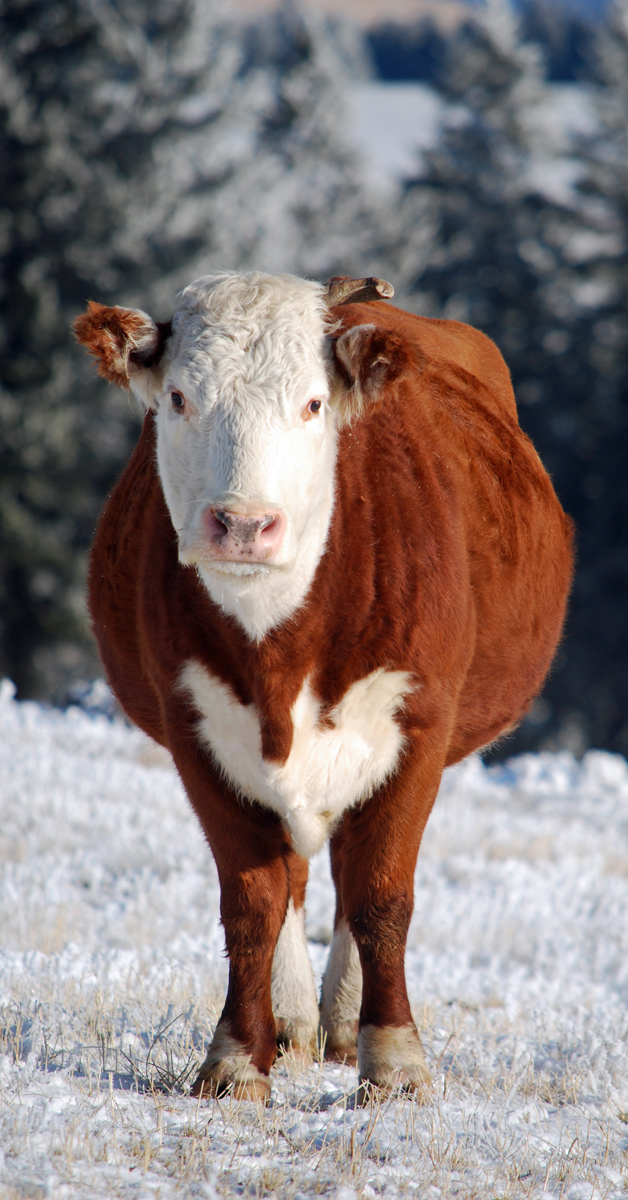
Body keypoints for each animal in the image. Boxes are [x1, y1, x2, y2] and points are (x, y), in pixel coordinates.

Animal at [75, 272, 573, 1104]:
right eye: (177, 398)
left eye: (312, 404)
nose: (245, 525)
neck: (281, 649)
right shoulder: (195, 731)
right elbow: (252, 900)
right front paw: (237, 1058)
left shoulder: (417, 728)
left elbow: (381, 896)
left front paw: (395, 1061)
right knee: (296, 875)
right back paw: (294, 1021)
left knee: (344, 873)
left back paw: (342, 1022)